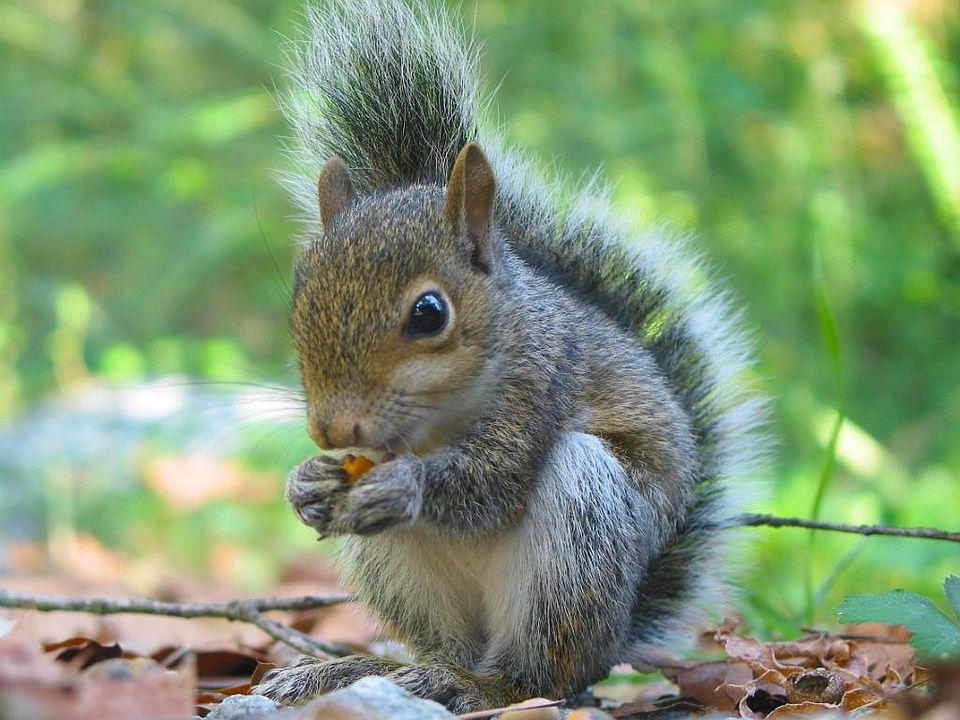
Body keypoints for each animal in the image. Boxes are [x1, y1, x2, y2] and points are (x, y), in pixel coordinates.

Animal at [253, 0, 768, 712]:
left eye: (429, 312)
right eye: (301, 297)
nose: (331, 430)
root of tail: (611, 643)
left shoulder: (540, 383)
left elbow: (492, 482)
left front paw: (407, 484)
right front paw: (305, 482)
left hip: (581, 531)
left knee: (535, 677)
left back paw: (474, 687)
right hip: (396, 570)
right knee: (441, 647)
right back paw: (366, 672)